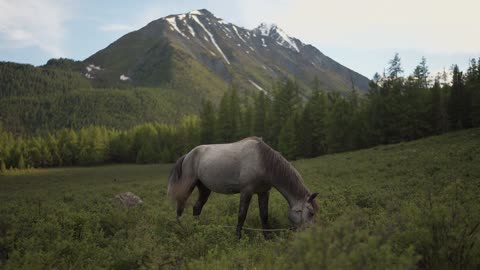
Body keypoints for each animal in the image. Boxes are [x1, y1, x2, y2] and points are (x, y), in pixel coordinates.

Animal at [169, 136, 318, 237]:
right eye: (311, 213)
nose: (311, 234)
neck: (262, 160)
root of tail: (188, 155)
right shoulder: (246, 191)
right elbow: (241, 215)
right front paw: (237, 237)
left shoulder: (264, 192)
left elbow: (264, 215)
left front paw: (267, 237)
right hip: (188, 186)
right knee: (180, 206)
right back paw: (182, 228)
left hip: (204, 189)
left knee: (197, 208)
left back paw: (198, 228)